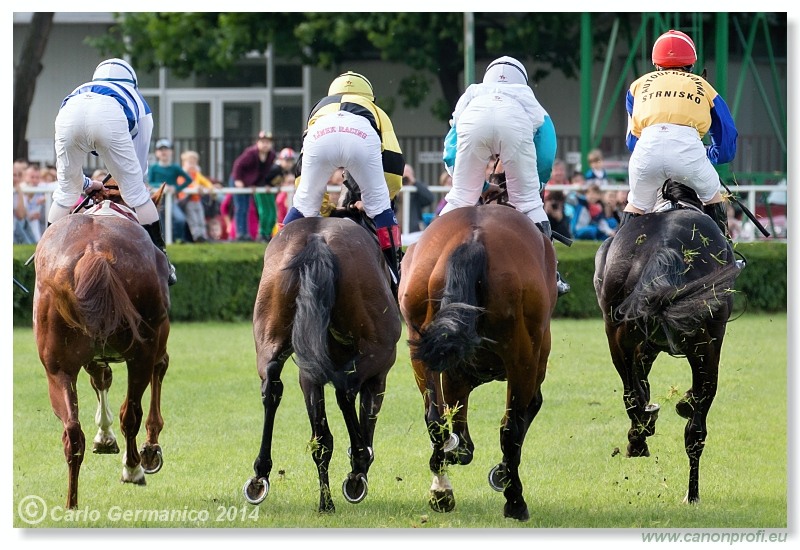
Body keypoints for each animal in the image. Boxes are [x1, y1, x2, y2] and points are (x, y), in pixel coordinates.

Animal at [35, 188, 173, 512]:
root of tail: (94, 251)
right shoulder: (157, 344)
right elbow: (157, 373)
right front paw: (149, 450)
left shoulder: (92, 357)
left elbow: (101, 379)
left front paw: (105, 437)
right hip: (141, 352)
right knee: (131, 412)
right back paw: (133, 469)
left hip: (57, 368)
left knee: (72, 432)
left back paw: (72, 502)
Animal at [242, 183, 400, 516]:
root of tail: (317, 240)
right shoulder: (380, 371)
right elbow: (365, 413)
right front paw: (359, 468)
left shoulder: (309, 374)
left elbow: (321, 436)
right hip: (378, 349)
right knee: (346, 391)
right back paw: (357, 465)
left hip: (271, 331)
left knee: (272, 384)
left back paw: (264, 477)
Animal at [398, 205, 556, 524]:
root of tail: (472, 240)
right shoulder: (534, 364)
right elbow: (525, 413)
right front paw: (502, 475)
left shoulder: (454, 373)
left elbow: (457, 432)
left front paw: (455, 454)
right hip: (522, 356)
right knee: (511, 428)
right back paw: (515, 501)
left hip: (420, 346)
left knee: (434, 419)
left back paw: (441, 490)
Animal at [592, 180, 744, 504]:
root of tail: (665, 248)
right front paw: (681, 403)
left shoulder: (644, 344)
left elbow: (640, 387)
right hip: (705, 343)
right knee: (696, 426)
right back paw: (689, 490)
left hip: (617, 334)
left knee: (632, 395)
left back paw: (642, 440)